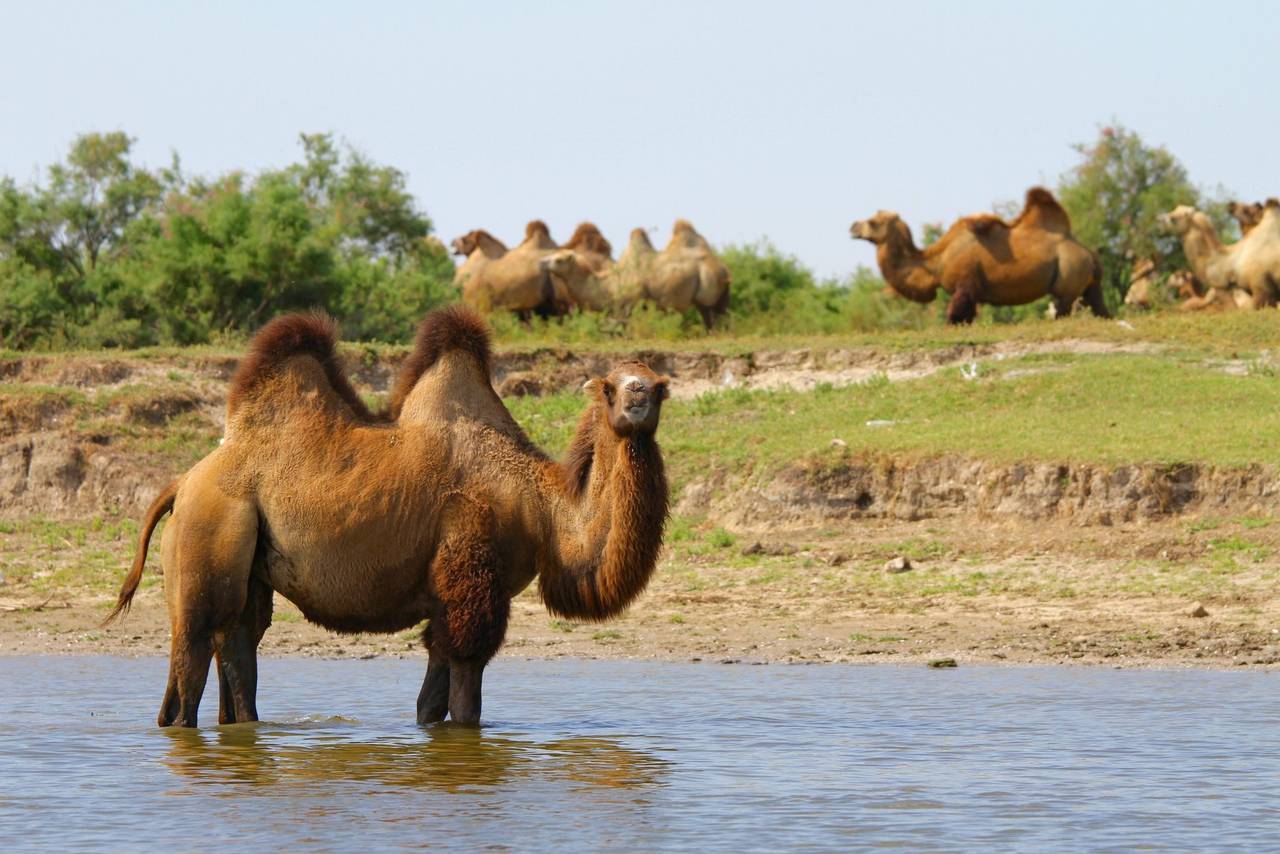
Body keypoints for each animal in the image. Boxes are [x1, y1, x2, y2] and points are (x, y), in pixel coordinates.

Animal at [106, 307, 670, 727]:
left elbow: (429, 704)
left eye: (657, 385)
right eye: (612, 386)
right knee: (192, 661)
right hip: (209, 530)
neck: (541, 507)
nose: (638, 397)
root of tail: (183, 482)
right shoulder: (472, 581)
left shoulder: (448, 599)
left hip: (245, 568)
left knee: (238, 643)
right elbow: (465, 705)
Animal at [844, 186, 1105, 323]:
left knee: (1062, 307)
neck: (935, 263)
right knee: (1099, 306)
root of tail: (1089, 254)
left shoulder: (964, 286)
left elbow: (954, 317)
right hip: (1089, 284)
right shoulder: (973, 292)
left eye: (873, 222)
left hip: (1068, 276)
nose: (852, 227)